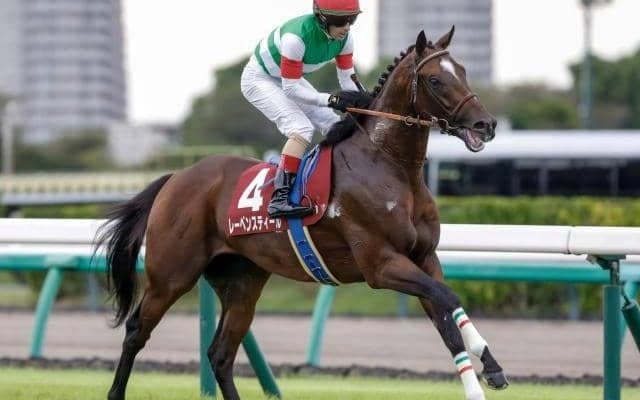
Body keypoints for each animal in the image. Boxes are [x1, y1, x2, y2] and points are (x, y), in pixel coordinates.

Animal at [98, 27, 507, 400]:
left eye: (463, 71)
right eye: (436, 79)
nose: (485, 124)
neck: (389, 166)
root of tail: (177, 177)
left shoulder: (423, 258)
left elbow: (447, 314)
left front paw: (490, 369)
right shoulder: (381, 265)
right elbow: (448, 298)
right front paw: (485, 366)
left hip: (241, 280)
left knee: (220, 354)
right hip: (172, 274)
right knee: (136, 331)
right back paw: (115, 392)